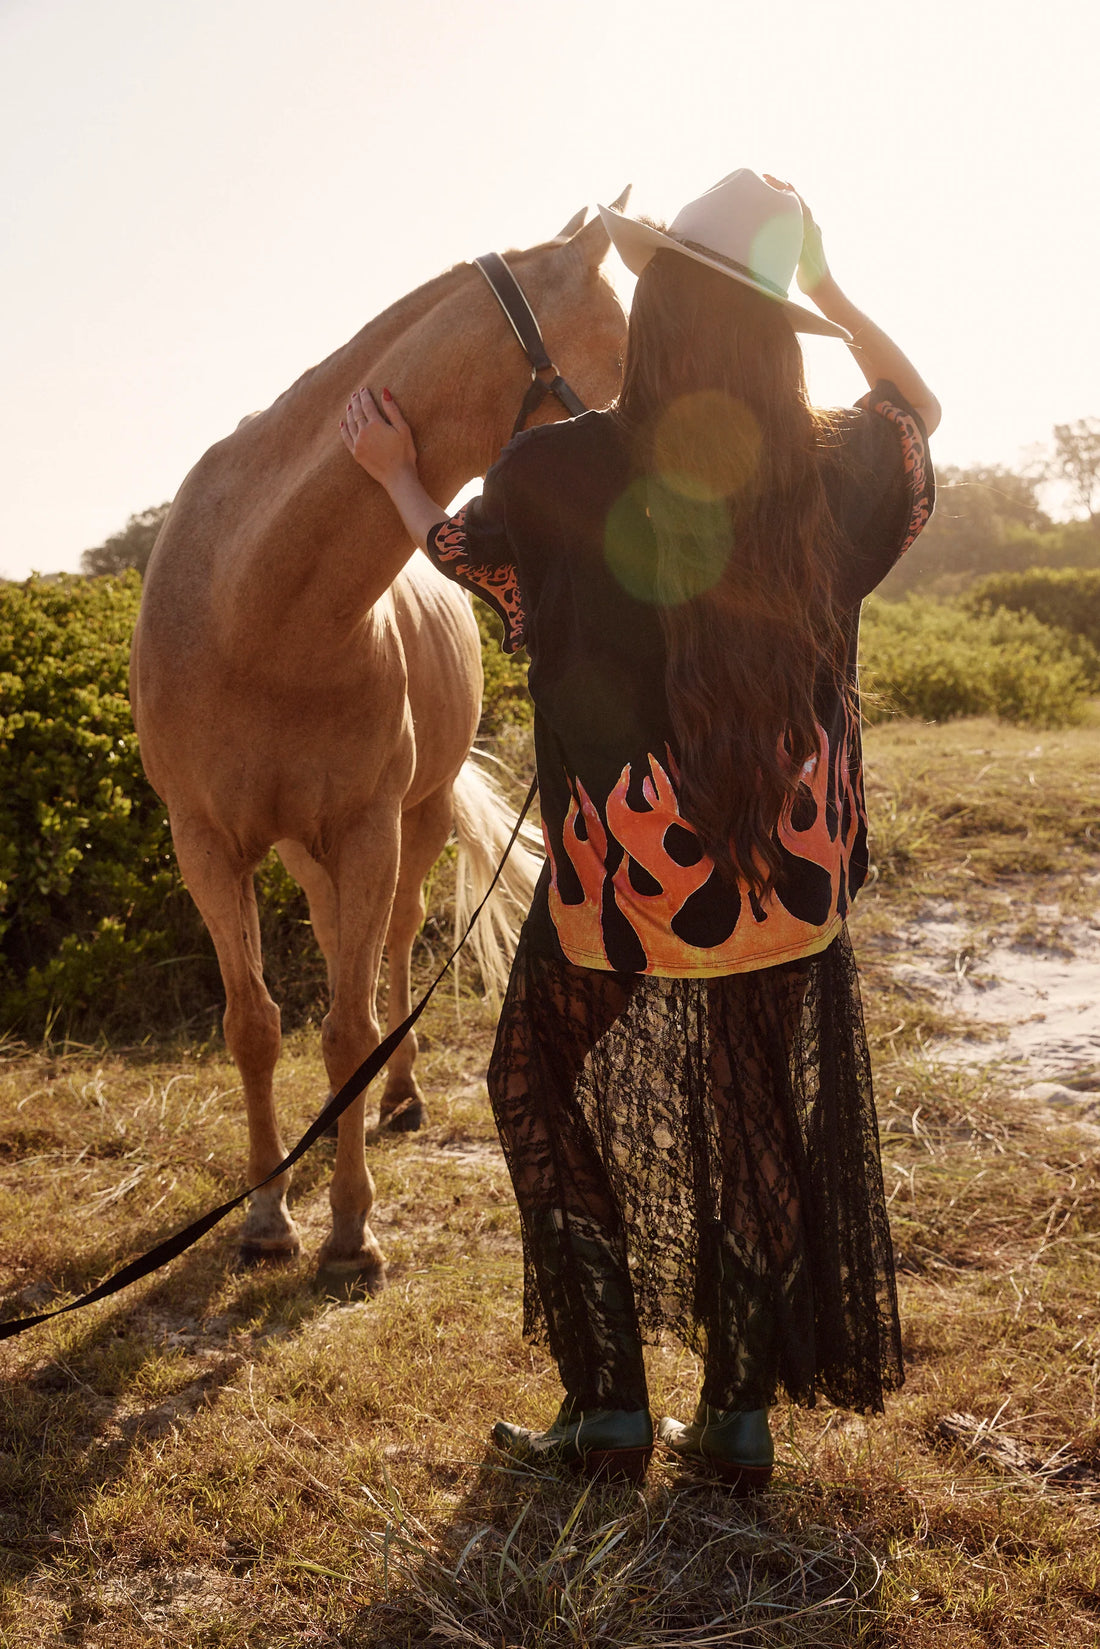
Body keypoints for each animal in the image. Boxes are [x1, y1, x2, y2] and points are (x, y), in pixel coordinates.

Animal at [129, 206, 626, 1292]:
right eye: (622, 352)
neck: (258, 612)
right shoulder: (207, 845)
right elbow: (255, 1024)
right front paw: (266, 1214)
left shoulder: (366, 830)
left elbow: (352, 1026)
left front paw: (350, 1231)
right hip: (306, 850)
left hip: (413, 819)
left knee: (393, 952)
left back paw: (396, 1097)